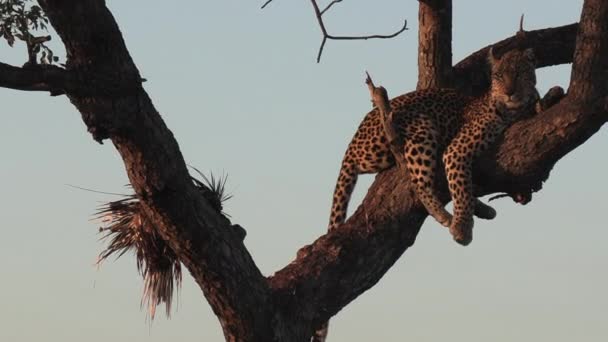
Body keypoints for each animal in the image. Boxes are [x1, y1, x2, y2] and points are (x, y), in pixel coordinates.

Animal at [328, 47, 540, 246]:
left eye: (520, 73)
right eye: (499, 75)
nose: (509, 92)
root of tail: (353, 141)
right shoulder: (456, 149)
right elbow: (461, 189)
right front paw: (462, 228)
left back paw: (483, 209)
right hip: (421, 127)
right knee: (419, 183)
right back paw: (445, 216)